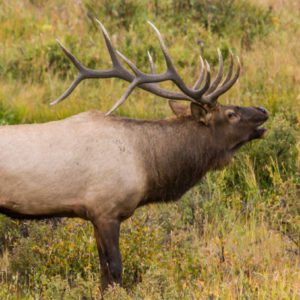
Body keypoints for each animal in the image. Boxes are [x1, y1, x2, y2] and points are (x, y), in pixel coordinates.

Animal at [0, 20, 268, 288]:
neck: (148, 165)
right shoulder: (106, 210)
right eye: (231, 114)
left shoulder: (95, 215)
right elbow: (115, 270)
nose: (263, 110)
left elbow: (103, 272)